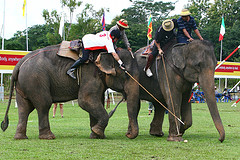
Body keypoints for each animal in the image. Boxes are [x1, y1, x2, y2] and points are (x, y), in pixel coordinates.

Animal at [0, 43, 139, 140]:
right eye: (126, 74)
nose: (127, 134)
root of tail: (19, 63)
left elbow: (97, 101)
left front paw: (96, 135)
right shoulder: (89, 74)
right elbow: (85, 101)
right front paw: (97, 132)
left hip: (23, 84)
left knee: (24, 108)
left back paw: (20, 137)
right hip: (36, 80)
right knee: (44, 104)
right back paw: (49, 137)